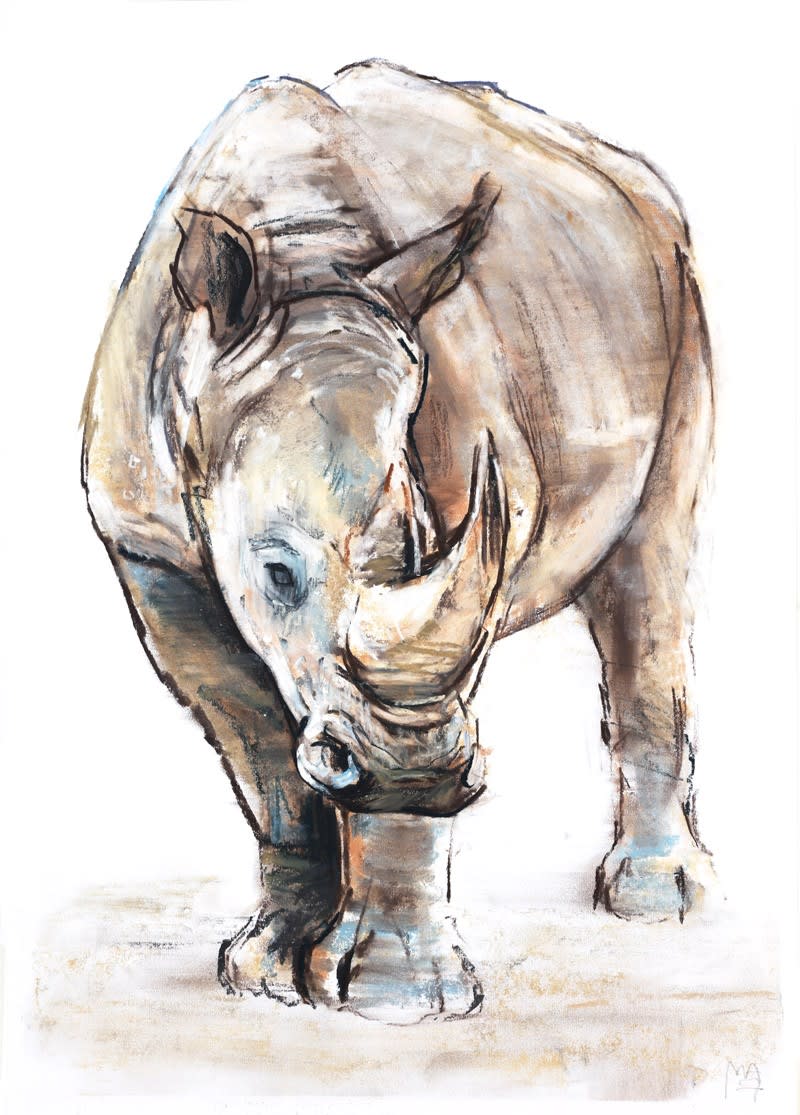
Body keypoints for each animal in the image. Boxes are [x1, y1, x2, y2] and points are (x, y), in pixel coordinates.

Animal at [82, 60, 715, 1022]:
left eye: (424, 541)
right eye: (275, 572)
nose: (415, 766)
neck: (302, 251)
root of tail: (629, 178)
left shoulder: (471, 557)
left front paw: (399, 995)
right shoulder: (149, 551)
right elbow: (264, 759)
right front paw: (267, 970)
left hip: (674, 288)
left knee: (654, 555)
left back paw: (658, 901)